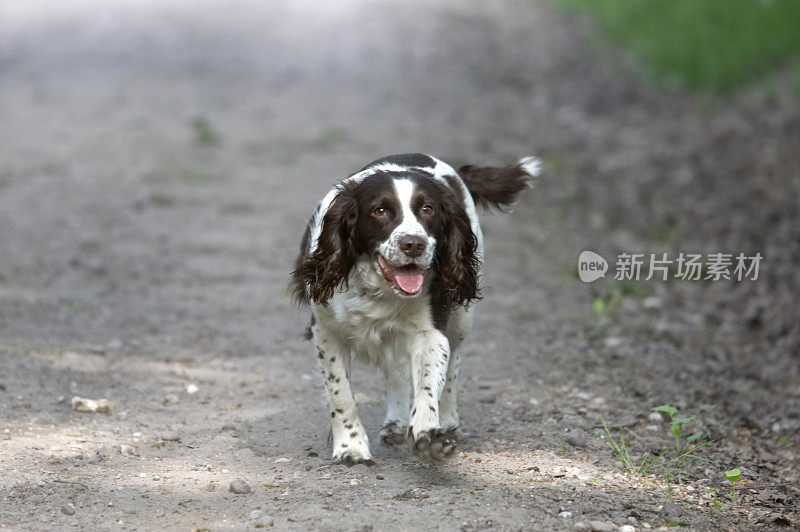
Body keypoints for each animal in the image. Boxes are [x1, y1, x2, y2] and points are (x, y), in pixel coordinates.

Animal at [290, 152, 540, 464]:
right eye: (380, 210)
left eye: (427, 209)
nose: (414, 244)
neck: (378, 288)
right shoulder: (327, 331)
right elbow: (341, 393)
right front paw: (351, 446)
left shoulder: (430, 334)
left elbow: (429, 384)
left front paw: (429, 435)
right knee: (393, 372)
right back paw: (394, 425)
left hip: (461, 321)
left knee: (452, 368)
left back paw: (446, 422)